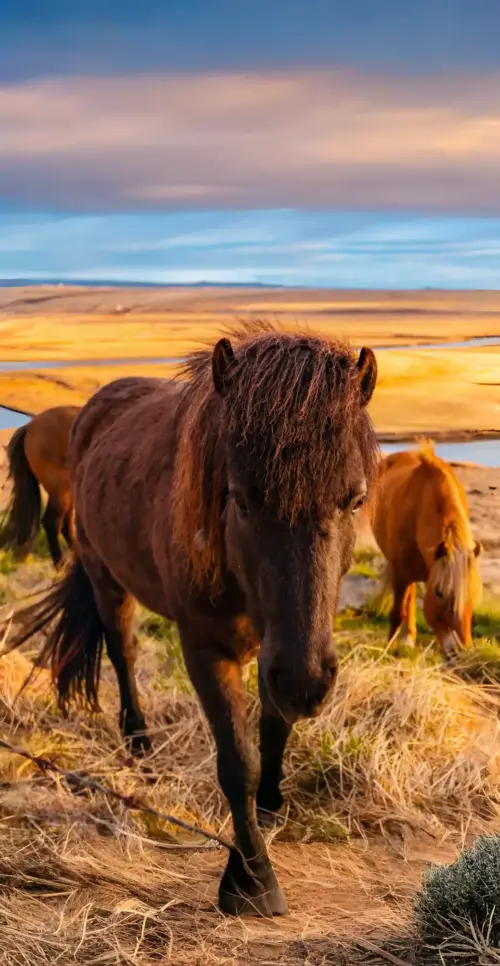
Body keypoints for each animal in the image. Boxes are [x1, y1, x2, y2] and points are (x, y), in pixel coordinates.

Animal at [372, 443, 482, 655]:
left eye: (472, 593)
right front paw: (387, 650)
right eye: (439, 593)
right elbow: (397, 613)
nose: (460, 651)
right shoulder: (401, 574)